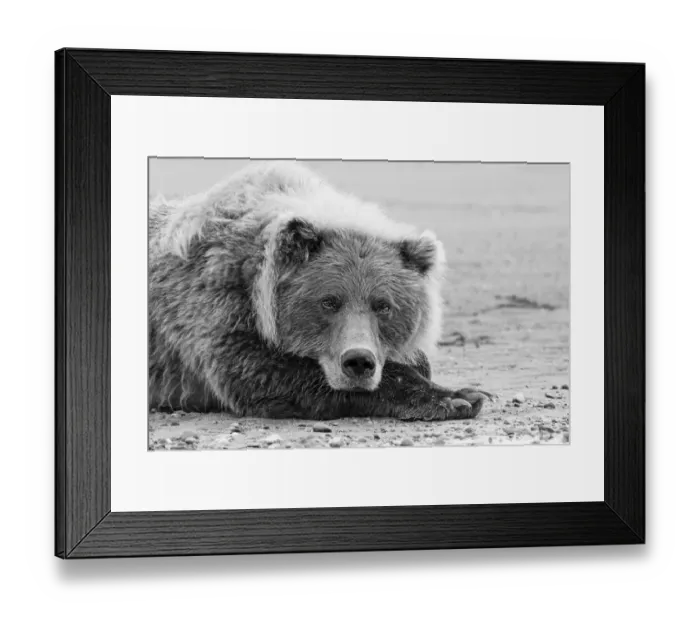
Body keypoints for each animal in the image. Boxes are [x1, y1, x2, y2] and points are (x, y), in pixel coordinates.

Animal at [148, 161, 491, 421]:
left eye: (383, 305)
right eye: (329, 301)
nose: (358, 361)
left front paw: (465, 391)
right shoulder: (216, 304)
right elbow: (260, 372)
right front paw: (454, 398)